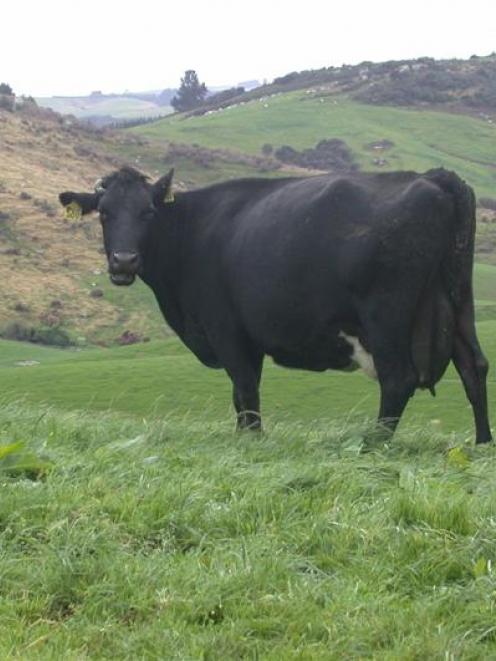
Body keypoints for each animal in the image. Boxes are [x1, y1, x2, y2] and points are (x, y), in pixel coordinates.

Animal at [60, 168, 490, 440]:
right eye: (104, 213)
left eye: (148, 212)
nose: (124, 261)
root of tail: (435, 177)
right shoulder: (249, 340)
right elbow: (241, 394)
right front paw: (243, 436)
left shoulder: (226, 330)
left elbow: (246, 390)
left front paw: (253, 440)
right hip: (457, 300)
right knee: (474, 366)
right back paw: (482, 442)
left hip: (386, 316)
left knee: (398, 379)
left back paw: (372, 444)